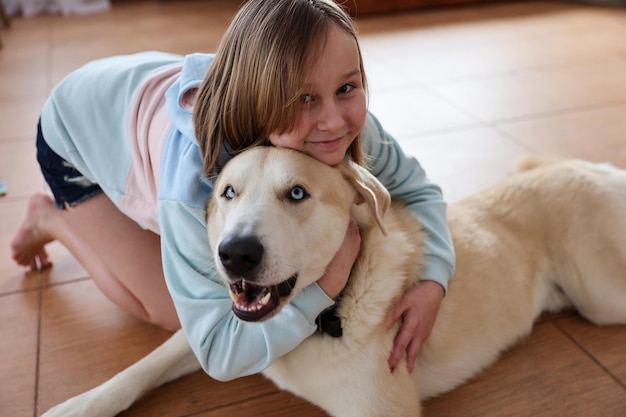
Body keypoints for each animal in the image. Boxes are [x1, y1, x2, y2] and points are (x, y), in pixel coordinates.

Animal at [40, 146, 624, 416]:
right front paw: (79, 404)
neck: (326, 310)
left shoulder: (380, 408)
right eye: (228, 192)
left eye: (297, 194)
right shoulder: (217, 335)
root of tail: (600, 171)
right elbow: (140, 368)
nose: (235, 255)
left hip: (601, 294)